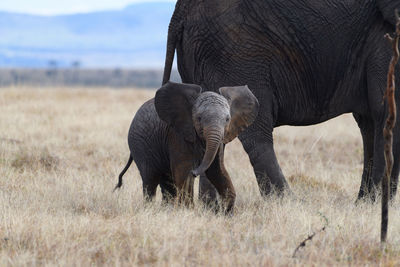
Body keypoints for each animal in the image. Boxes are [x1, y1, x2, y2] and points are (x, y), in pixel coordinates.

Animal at [115, 81, 260, 214]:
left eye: (227, 119)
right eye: (199, 118)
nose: (195, 172)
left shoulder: (220, 141)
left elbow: (217, 170)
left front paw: (227, 213)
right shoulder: (178, 134)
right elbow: (183, 171)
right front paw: (188, 212)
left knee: (167, 182)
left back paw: (167, 210)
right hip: (139, 144)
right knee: (150, 179)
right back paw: (149, 210)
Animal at [162, 0, 400, 202]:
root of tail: (179, 10)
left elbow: (370, 121)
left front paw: (365, 203)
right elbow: (387, 113)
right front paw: (377, 204)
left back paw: (212, 208)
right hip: (237, 51)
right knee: (256, 133)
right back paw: (287, 202)